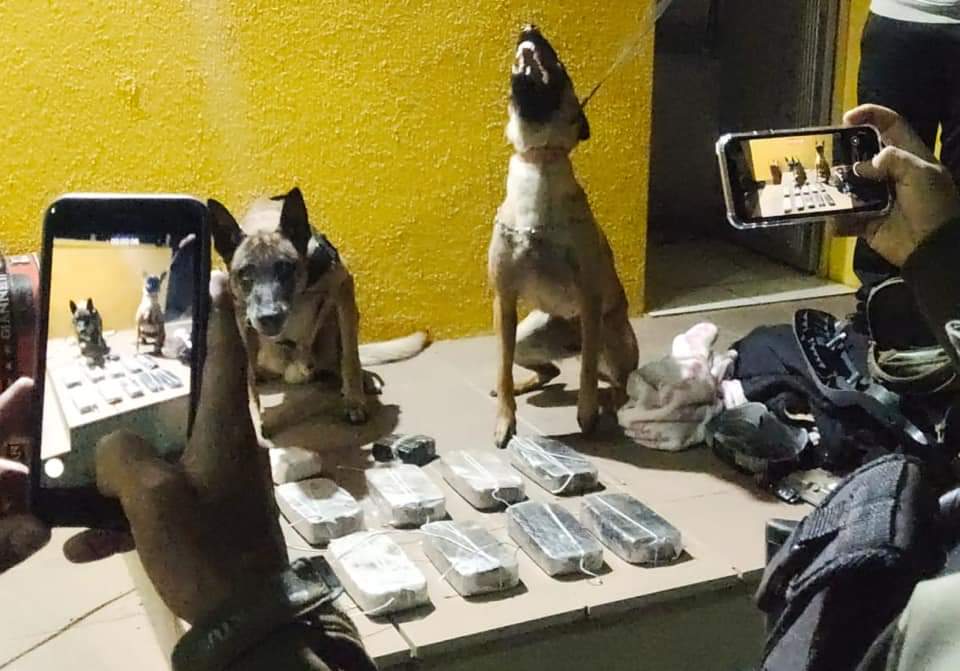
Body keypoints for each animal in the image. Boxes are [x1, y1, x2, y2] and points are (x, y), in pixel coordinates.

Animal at [209, 187, 428, 425]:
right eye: (245, 274)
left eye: (285, 268)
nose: (269, 317)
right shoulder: (242, 318)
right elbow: (247, 379)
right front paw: (255, 421)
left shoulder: (343, 288)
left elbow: (350, 356)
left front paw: (354, 400)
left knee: (341, 359)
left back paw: (363, 379)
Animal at [488, 25, 639, 448]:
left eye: (562, 67)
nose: (529, 27)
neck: (539, 158)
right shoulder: (504, 301)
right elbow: (501, 370)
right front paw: (505, 418)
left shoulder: (589, 300)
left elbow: (586, 372)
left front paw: (587, 413)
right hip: (523, 335)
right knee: (547, 370)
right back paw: (525, 385)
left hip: (613, 340)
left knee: (618, 381)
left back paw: (610, 404)